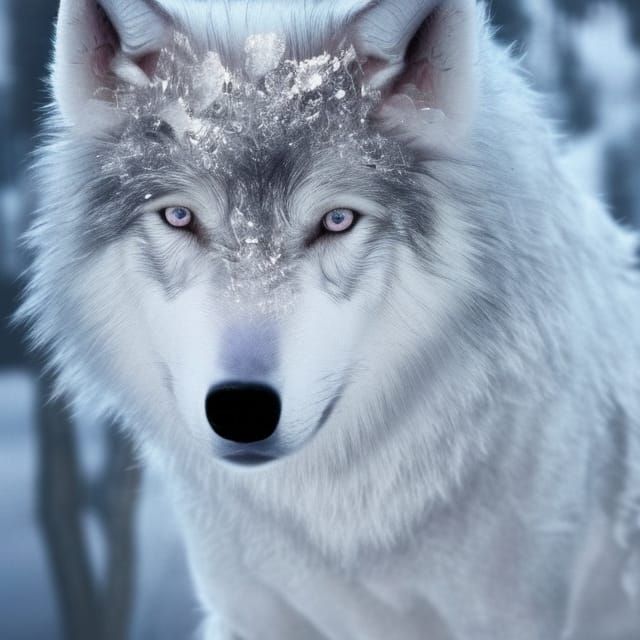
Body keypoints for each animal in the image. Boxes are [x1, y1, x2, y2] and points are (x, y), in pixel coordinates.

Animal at [20, 0, 640, 638]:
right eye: (179, 216)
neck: (341, 519)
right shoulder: (249, 615)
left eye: (337, 220)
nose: (241, 409)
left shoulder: (511, 616)